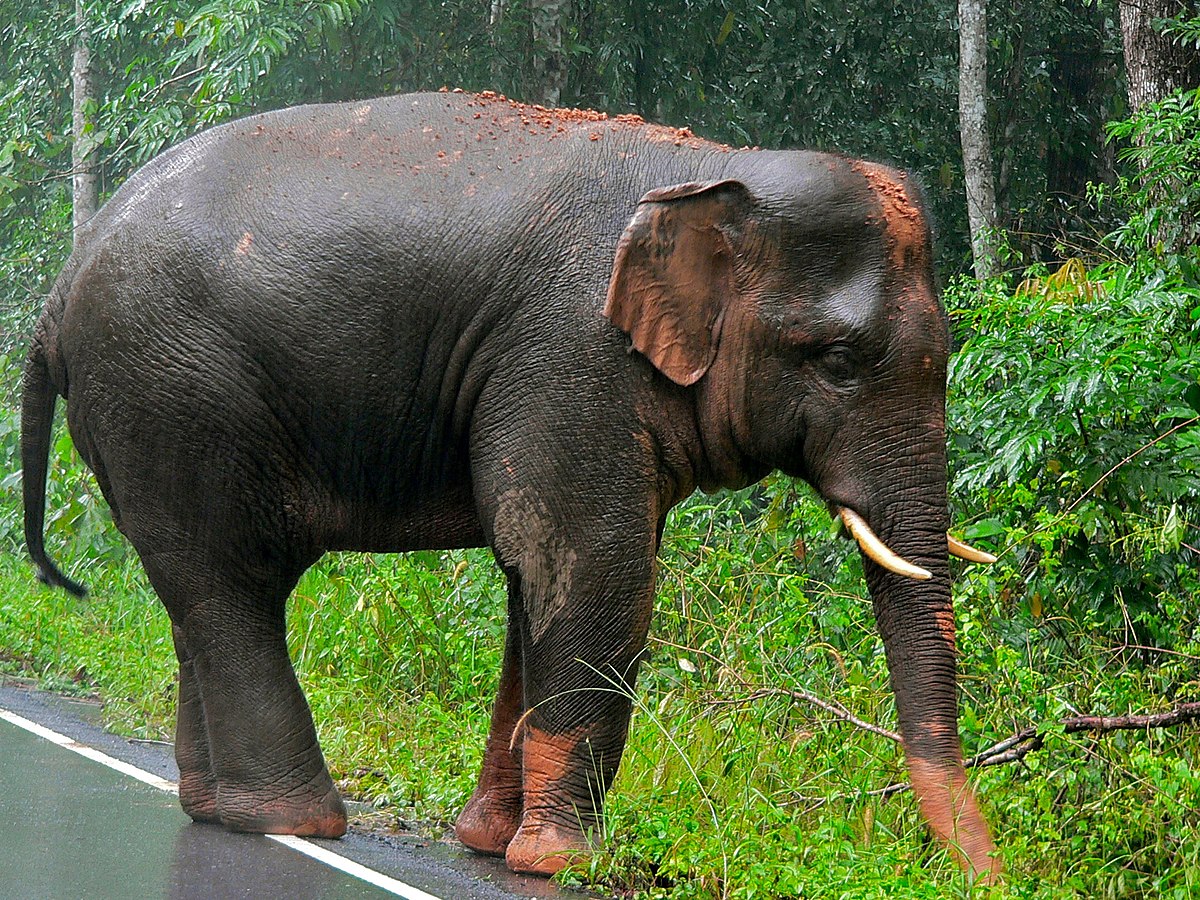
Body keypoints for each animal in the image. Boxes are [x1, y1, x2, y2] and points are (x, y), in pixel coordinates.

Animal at [25, 90, 1003, 883]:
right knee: (232, 586)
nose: (989, 878)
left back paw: (217, 810)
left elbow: (535, 584)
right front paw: (563, 864)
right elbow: (594, 571)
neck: (715, 171)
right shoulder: (572, 355)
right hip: (173, 394)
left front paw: (491, 845)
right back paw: (294, 822)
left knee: (199, 595)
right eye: (838, 360)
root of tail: (58, 291)